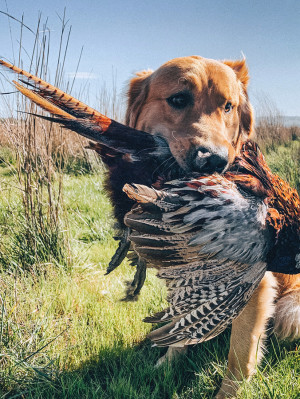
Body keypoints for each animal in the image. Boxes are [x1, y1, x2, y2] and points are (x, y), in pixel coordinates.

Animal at [125, 55, 300, 396]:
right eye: (178, 99)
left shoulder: (256, 284)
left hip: (291, 309)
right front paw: (167, 365)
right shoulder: (185, 271)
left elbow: (240, 355)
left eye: (228, 106)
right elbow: (183, 321)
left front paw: (230, 393)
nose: (215, 161)